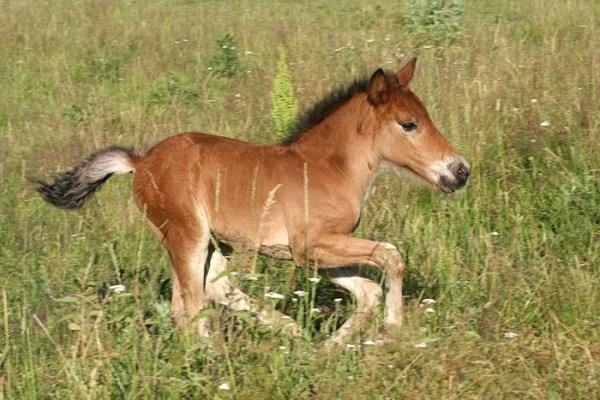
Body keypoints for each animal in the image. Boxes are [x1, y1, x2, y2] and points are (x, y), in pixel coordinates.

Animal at [35, 58, 472, 344]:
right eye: (409, 124)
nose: (460, 170)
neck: (329, 167)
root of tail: (141, 162)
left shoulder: (317, 253)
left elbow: (367, 290)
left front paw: (330, 347)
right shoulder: (311, 245)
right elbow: (391, 256)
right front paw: (392, 327)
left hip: (217, 242)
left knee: (211, 290)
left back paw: (285, 331)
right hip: (187, 234)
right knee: (191, 304)